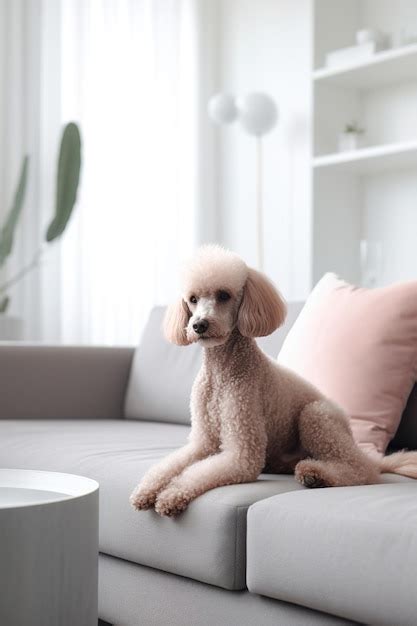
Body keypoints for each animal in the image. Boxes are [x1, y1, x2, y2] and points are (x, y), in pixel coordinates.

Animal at [130, 241, 416, 516]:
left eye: (224, 295)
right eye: (192, 299)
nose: (199, 324)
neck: (221, 371)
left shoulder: (242, 451)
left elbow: (197, 473)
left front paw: (171, 494)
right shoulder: (202, 442)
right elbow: (167, 465)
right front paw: (146, 490)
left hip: (317, 417)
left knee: (363, 470)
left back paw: (316, 474)